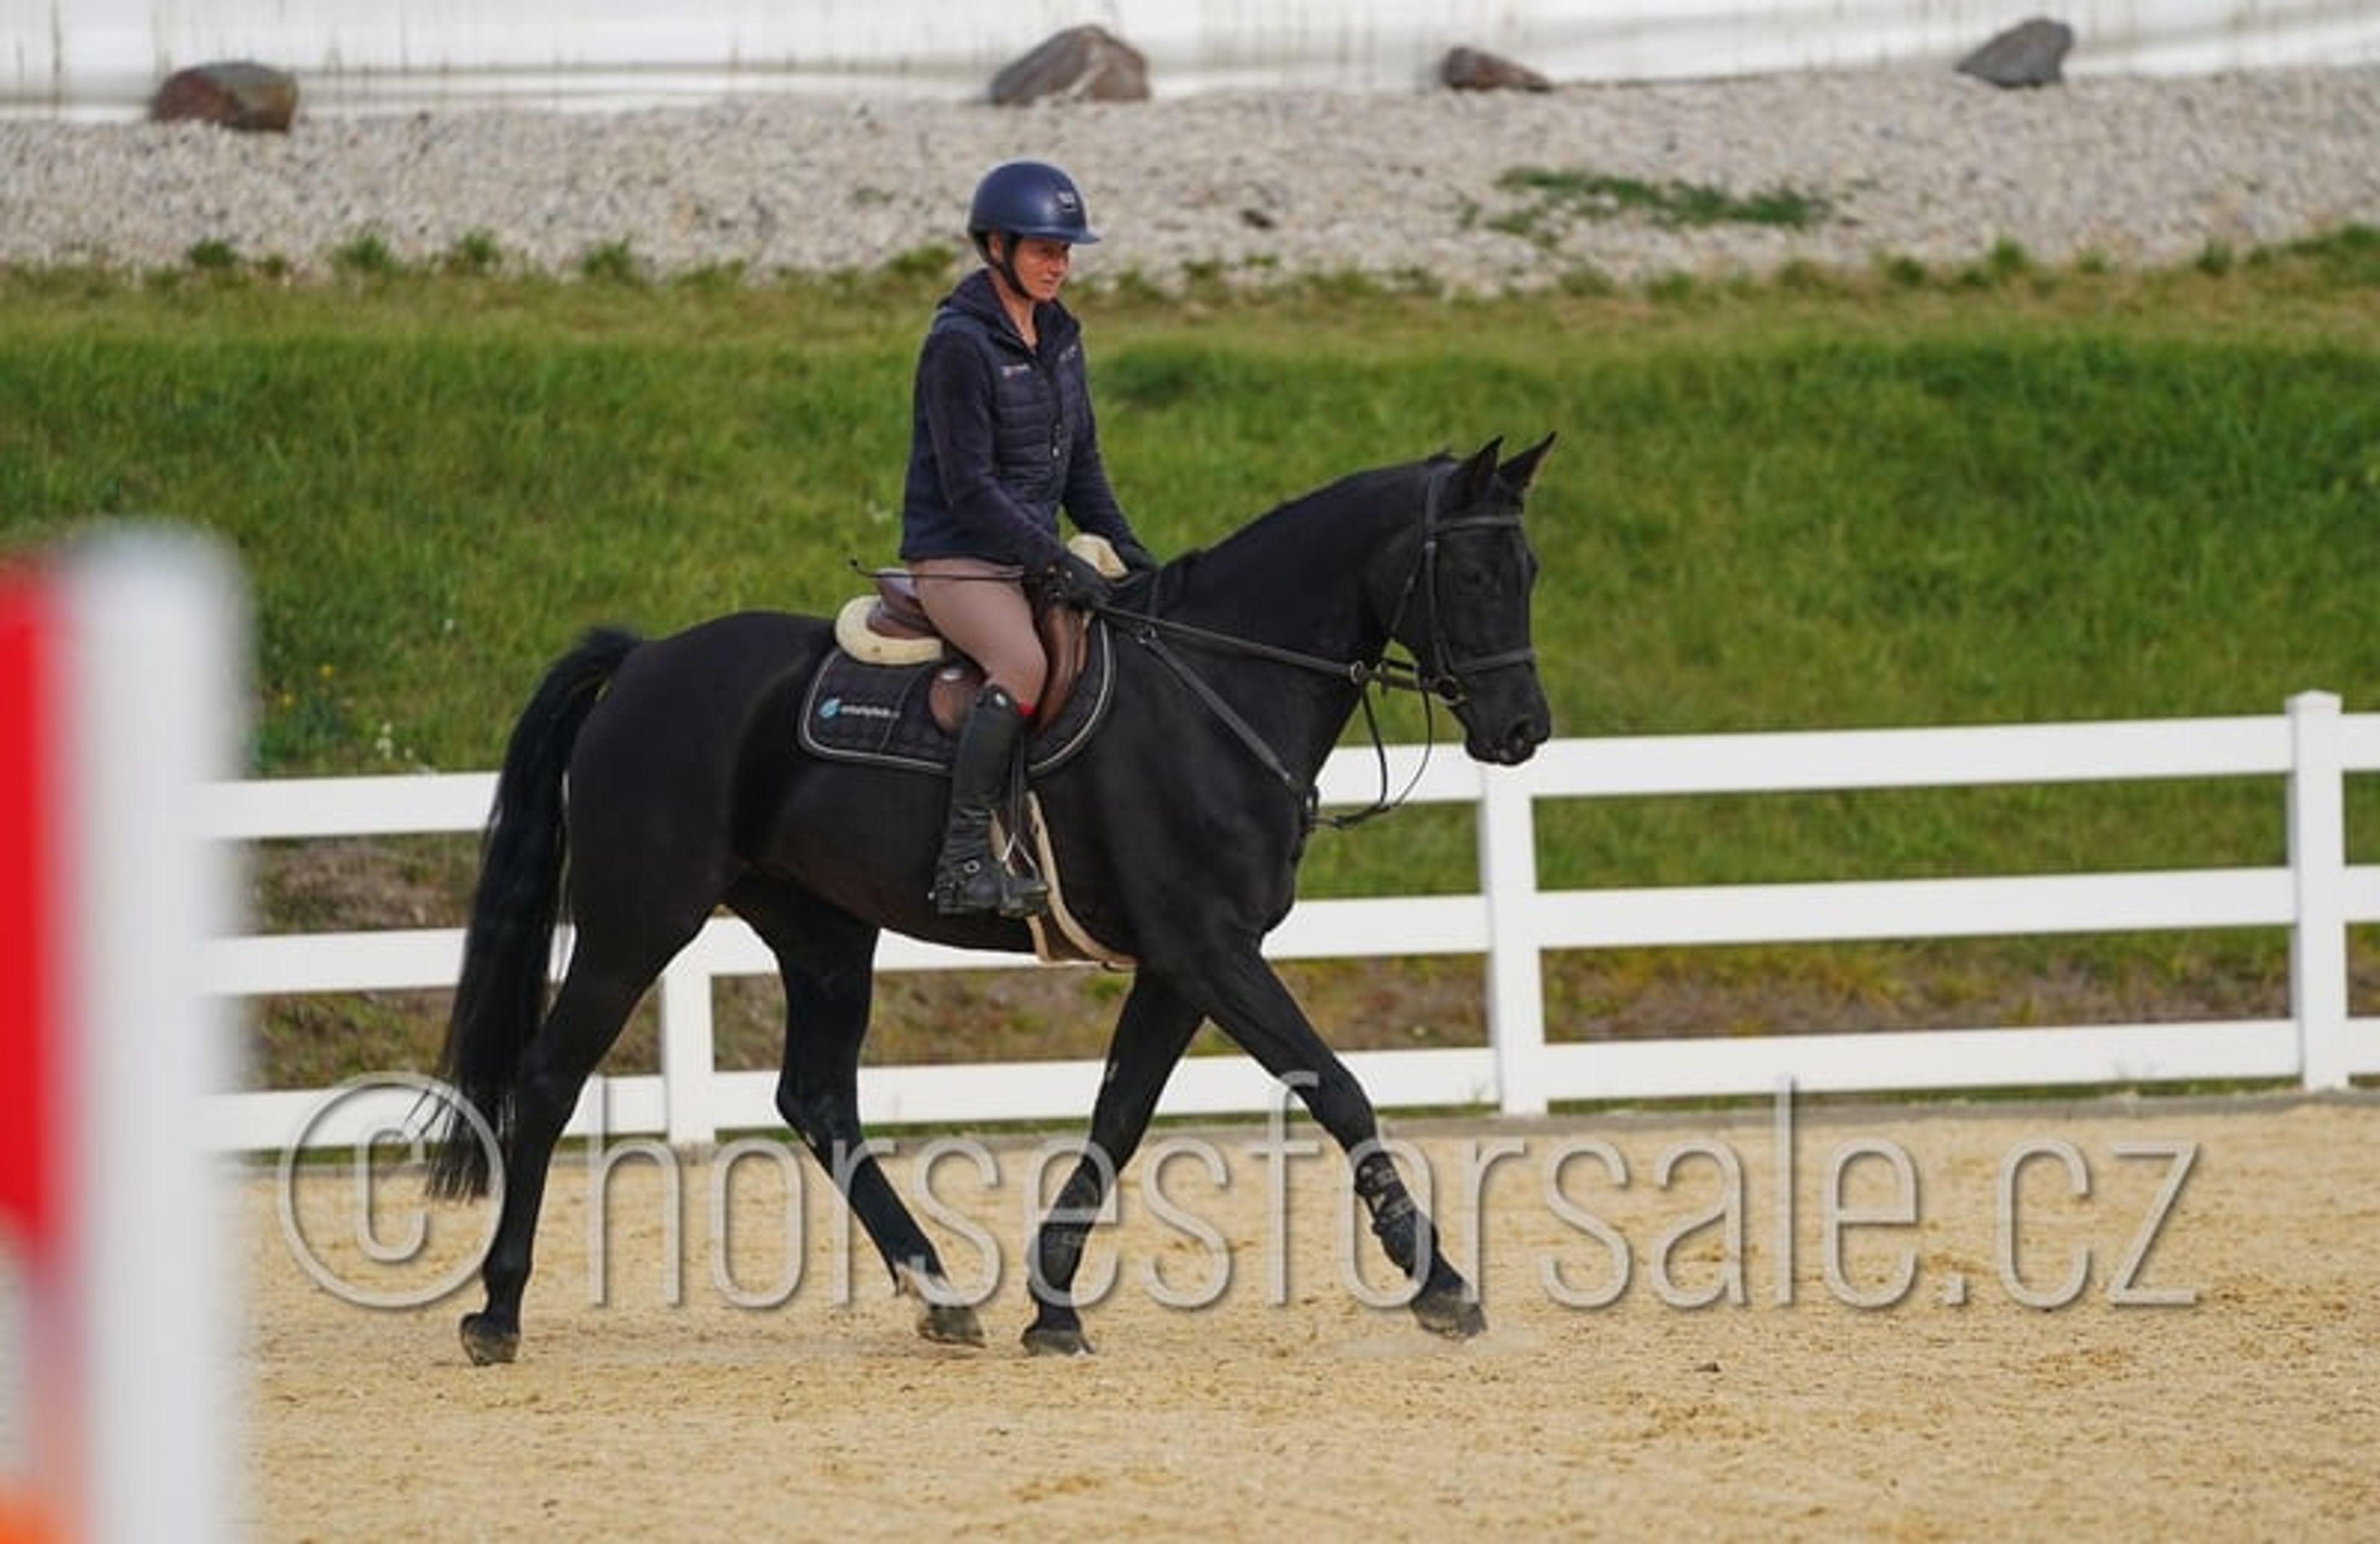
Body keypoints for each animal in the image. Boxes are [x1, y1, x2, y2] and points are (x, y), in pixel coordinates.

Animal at [426, 435, 1555, 1363]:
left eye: (1530, 572)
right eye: (1472, 571)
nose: (1524, 729)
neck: (1217, 687)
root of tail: (646, 661)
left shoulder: (1179, 964)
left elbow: (1119, 1117)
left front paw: (1052, 1304)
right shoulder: (1210, 948)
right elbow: (1338, 1087)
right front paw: (1441, 1281)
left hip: (824, 934)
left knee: (816, 1096)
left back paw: (939, 1292)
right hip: (636, 924)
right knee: (548, 1077)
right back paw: (497, 1309)